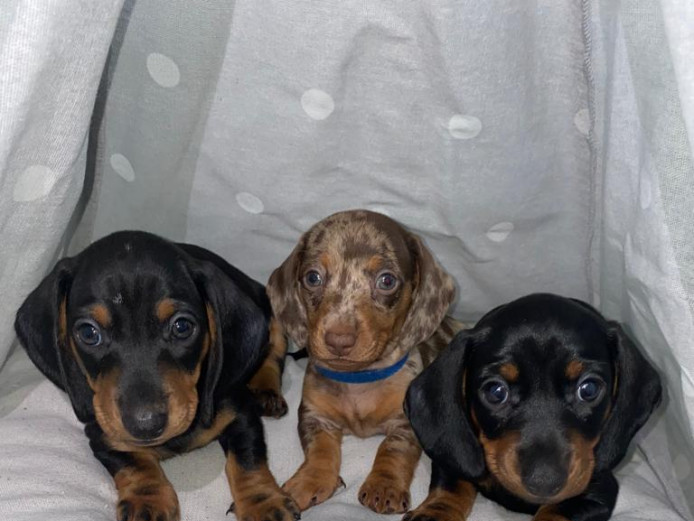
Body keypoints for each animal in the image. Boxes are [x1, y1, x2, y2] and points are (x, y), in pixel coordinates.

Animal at [14, 231, 300, 520]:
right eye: (88, 333)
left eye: (182, 326)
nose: (145, 425)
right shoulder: (102, 429)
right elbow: (131, 461)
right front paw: (147, 500)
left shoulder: (239, 411)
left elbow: (247, 458)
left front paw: (262, 503)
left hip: (270, 316)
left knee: (274, 349)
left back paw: (266, 390)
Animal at [266, 208, 468, 512]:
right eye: (313, 277)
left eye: (387, 280)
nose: (338, 340)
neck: (358, 378)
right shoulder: (315, 416)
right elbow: (319, 449)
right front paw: (309, 480)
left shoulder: (406, 421)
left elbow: (392, 449)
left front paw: (383, 485)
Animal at [408, 292, 664, 520]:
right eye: (495, 391)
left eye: (588, 389)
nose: (544, 482)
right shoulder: (454, 454)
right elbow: (451, 484)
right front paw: (434, 513)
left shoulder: (596, 489)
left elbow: (556, 510)